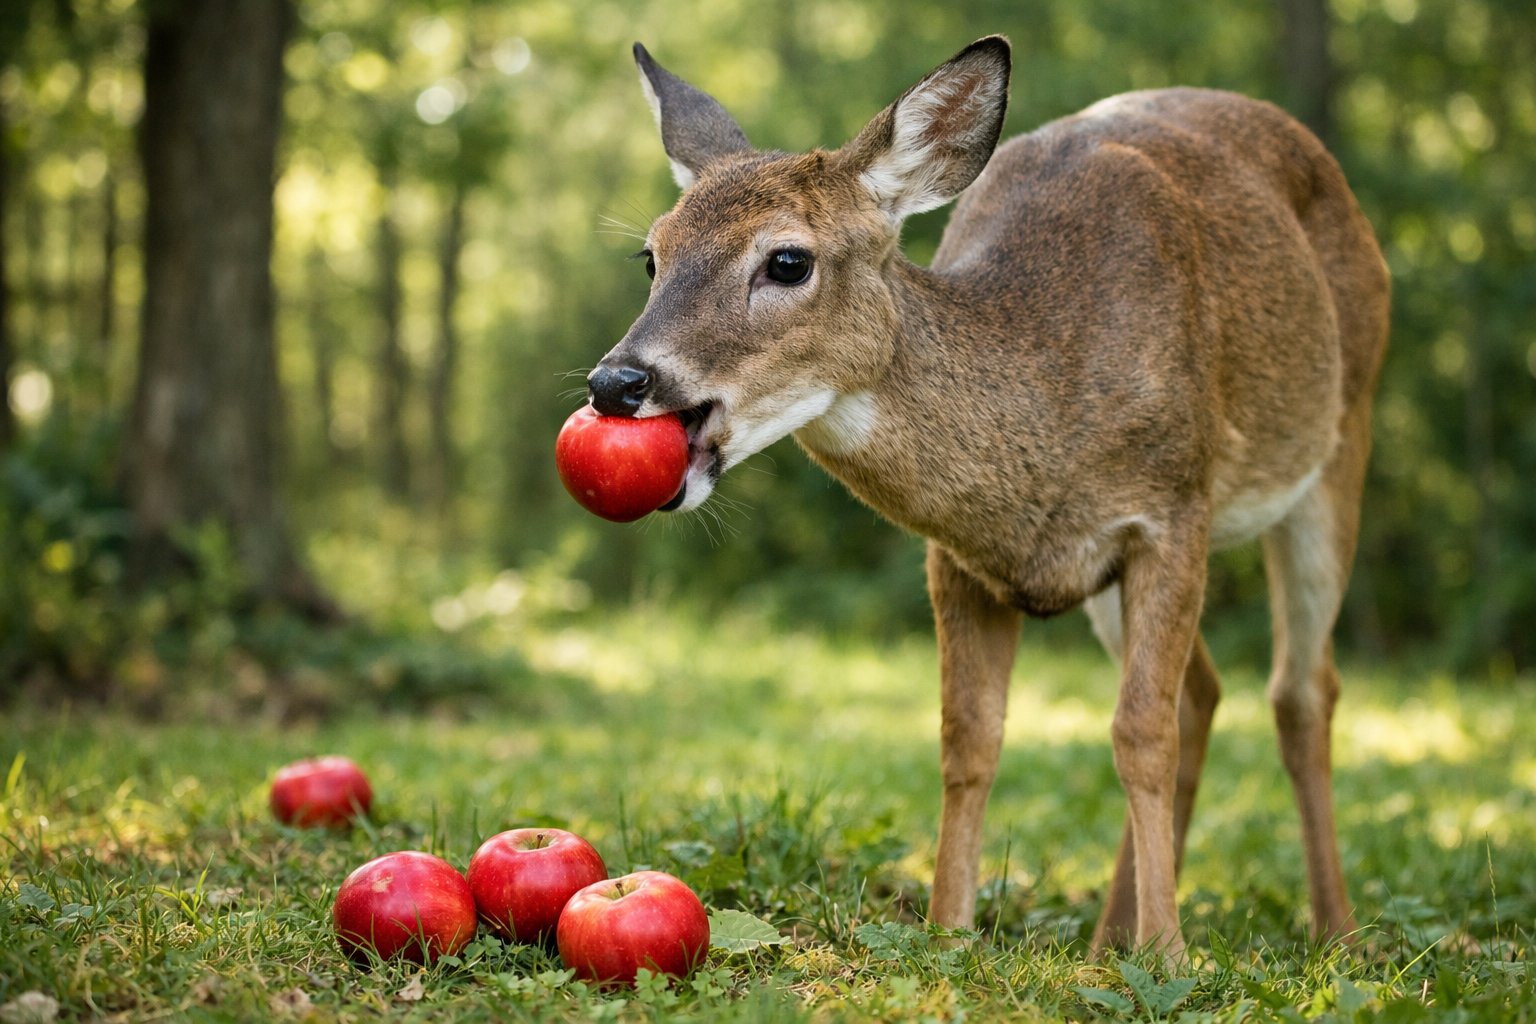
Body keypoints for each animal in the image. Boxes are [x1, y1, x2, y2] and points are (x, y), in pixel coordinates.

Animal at [584, 36, 1390, 957]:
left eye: (788, 260)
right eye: (652, 254)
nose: (617, 381)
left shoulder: (1173, 511)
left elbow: (1140, 732)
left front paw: (1169, 951)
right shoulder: (957, 559)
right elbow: (968, 738)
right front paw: (948, 930)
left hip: (1342, 439)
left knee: (1299, 690)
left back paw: (1334, 933)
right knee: (1208, 692)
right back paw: (1108, 939)